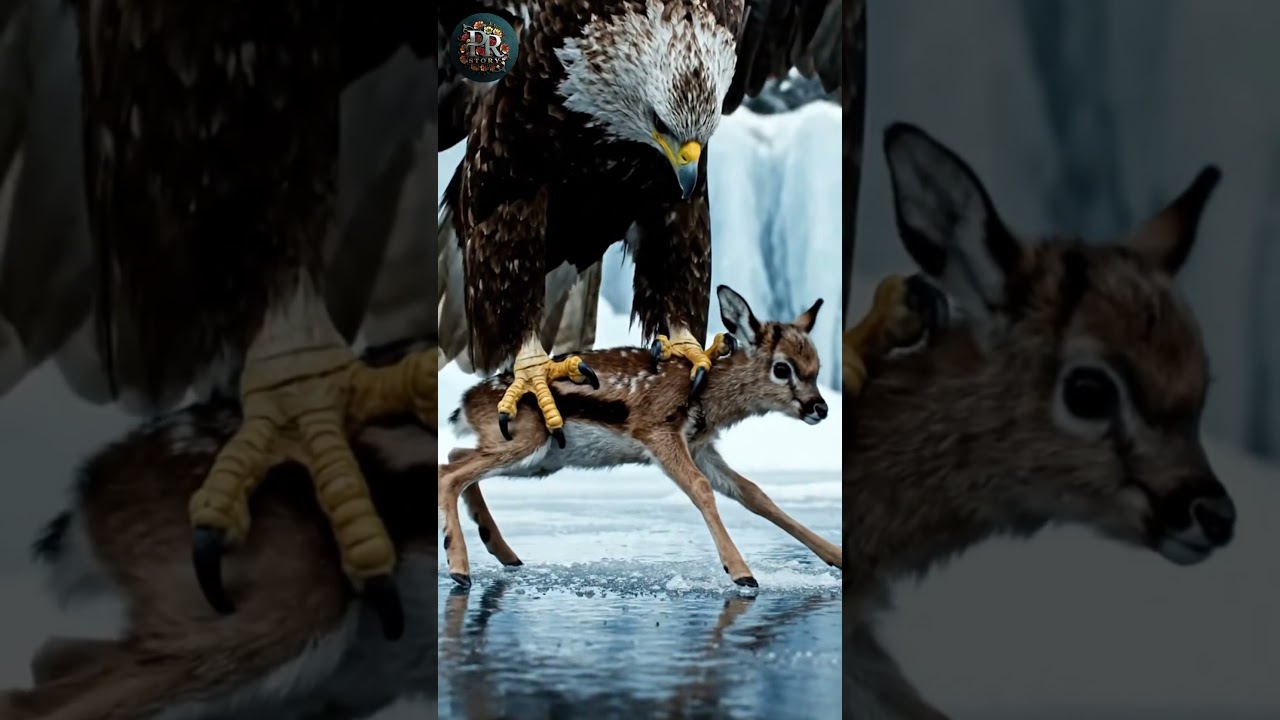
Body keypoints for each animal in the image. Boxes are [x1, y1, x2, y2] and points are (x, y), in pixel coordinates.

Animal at [438, 284, 841, 589]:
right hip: (528, 443)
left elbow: (754, 493)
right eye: (782, 368)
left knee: (456, 457)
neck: (707, 396)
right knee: (449, 473)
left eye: (816, 367)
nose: (819, 407)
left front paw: (835, 555)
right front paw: (742, 574)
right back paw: (460, 568)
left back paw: (504, 552)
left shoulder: (701, 447)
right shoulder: (657, 430)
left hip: (537, 459)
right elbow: (700, 489)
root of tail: (464, 403)